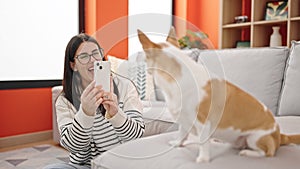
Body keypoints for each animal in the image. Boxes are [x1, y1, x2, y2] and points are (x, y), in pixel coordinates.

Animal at [137, 27, 300, 162]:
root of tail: (279, 135)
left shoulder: (203, 122)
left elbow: (203, 143)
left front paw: (202, 160)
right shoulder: (184, 120)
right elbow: (182, 134)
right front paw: (177, 144)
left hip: (255, 138)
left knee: (267, 153)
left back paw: (248, 153)